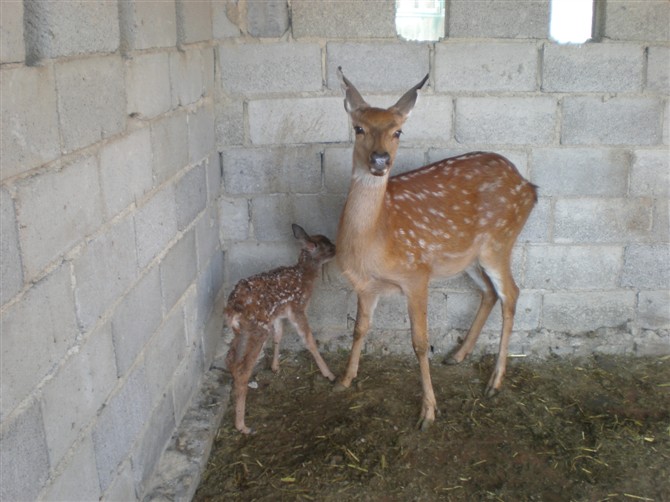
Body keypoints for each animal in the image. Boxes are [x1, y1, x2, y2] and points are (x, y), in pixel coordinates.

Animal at [338, 66, 540, 430]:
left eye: (398, 131)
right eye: (358, 128)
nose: (380, 159)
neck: (375, 240)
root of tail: (528, 187)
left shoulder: (417, 273)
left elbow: (420, 343)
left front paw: (428, 412)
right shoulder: (364, 286)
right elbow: (359, 330)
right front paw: (344, 379)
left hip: (499, 242)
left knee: (511, 293)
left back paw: (494, 382)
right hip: (468, 258)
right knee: (489, 292)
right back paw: (457, 355)